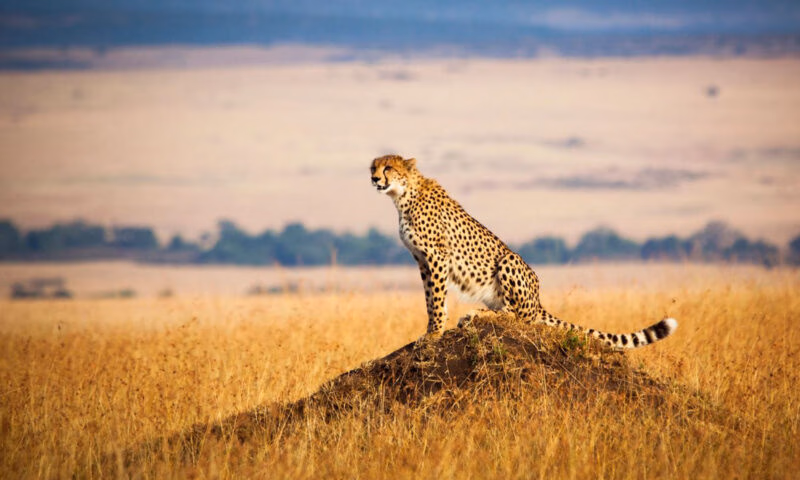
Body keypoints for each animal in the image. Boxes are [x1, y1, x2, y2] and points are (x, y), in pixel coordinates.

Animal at [370, 154, 678, 349]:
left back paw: (477, 314)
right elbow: (430, 299)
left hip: (509, 260)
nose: (374, 179)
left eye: (388, 167)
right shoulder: (422, 260)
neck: (402, 195)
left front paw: (434, 334)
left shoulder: (436, 257)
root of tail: (538, 300)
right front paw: (431, 329)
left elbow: (436, 299)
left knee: (518, 315)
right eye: (373, 167)